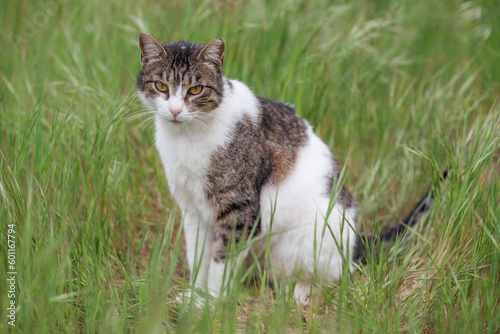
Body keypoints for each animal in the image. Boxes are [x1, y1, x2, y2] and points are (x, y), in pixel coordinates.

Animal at [137, 34, 434, 306]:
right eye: (161, 86)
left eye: (196, 90)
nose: (175, 110)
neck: (185, 138)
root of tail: (356, 241)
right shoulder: (192, 210)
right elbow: (198, 256)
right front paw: (195, 297)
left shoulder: (240, 211)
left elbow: (221, 261)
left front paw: (211, 303)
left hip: (314, 239)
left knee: (334, 274)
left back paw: (299, 293)